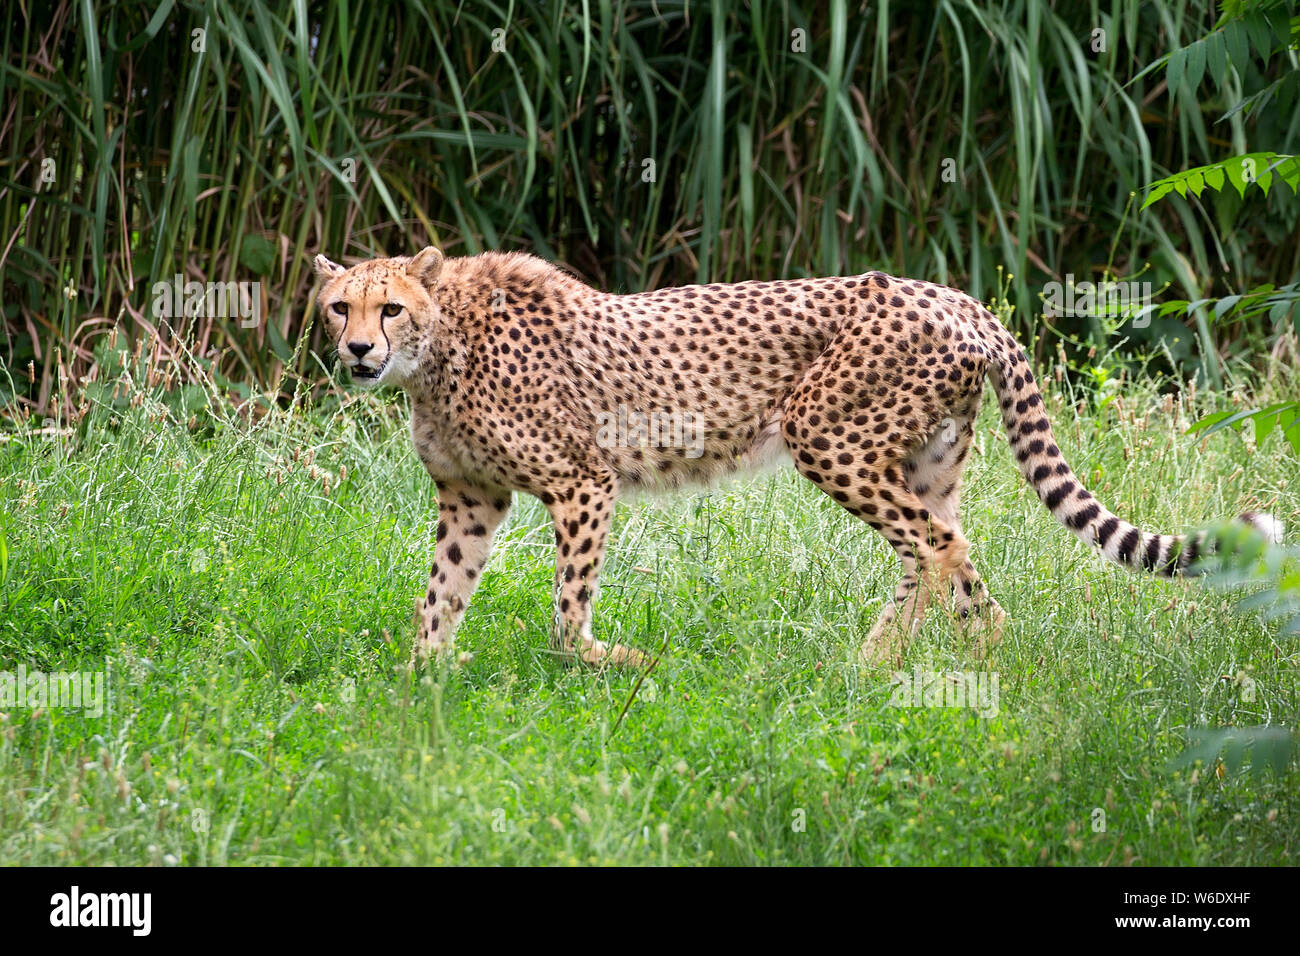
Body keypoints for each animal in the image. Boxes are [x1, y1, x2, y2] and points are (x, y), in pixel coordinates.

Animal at [312, 247, 1279, 665]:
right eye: (336, 307)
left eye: (389, 308)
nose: (356, 351)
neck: (436, 351)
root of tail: (957, 295)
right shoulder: (470, 498)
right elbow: (439, 595)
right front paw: (420, 689)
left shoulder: (583, 482)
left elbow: (563, 607)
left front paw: (598, 661)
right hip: (922, 460)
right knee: (955, 555)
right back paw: (956, 659)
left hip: (828, 434)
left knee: (936, 547)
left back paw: (875, 666)